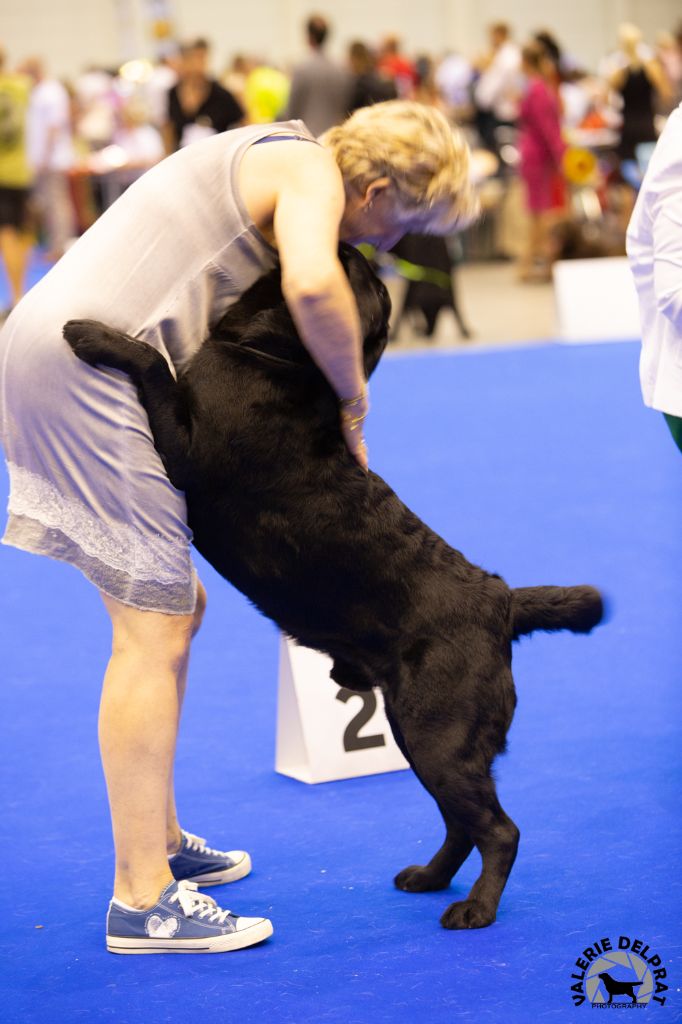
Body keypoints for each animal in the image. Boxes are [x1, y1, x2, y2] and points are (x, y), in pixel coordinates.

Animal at [61, 245, 598, 929]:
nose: (359, 246)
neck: (279, 359)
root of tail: (501, 600)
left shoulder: (185, 455)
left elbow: (153, 363)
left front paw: (93, 335)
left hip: (437, 733)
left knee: (499, 830)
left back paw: (475, 909)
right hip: (419, 734)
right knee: (463, 823)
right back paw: (429, 877)